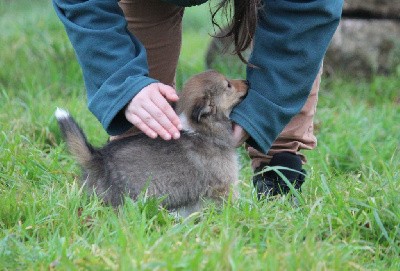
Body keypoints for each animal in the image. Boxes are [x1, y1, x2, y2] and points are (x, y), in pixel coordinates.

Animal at [54, 70, 248, 217]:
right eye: (228, 85)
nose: (247, 81)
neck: (201, 130)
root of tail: (98, 157)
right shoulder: (225, 185)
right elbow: (232, 204)